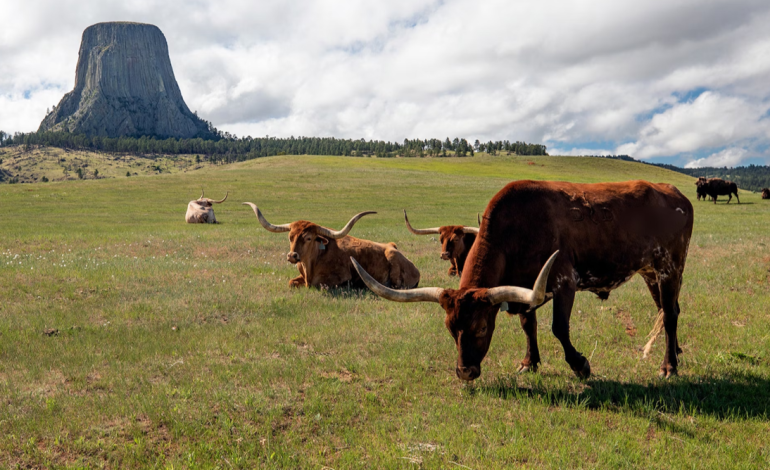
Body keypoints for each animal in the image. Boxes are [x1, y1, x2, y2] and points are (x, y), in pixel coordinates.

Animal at [352, 180, 692, 382]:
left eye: (482, 328)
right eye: (450, 328)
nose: (465, 372)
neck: (516, 230)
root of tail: (677, 194)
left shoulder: (564, 281)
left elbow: (559, 328)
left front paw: (580, 365)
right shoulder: (525, 289)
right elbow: (529, 325)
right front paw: (530, 362)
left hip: (670, 267)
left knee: (670, 314)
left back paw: (669, 366)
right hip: (651, 272)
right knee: (668, 309)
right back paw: (676, 353)